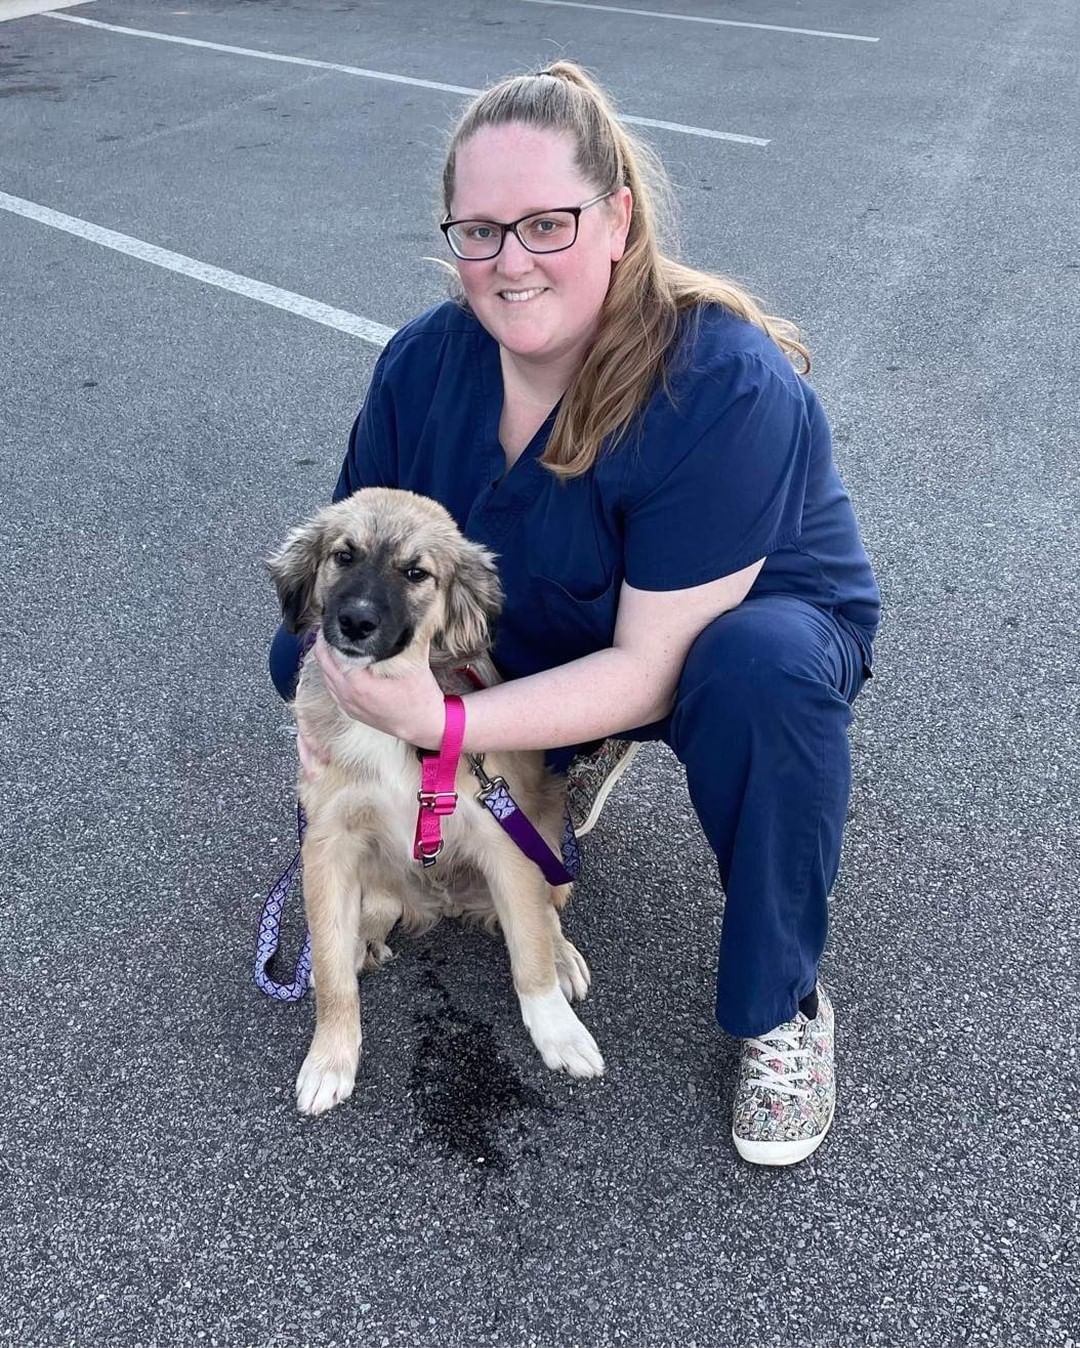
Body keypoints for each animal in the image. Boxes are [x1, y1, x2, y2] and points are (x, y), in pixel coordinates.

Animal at [265, 487, 601, 1116]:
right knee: (373, 913)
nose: (355, 621)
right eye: (343, 555)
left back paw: (562, 953)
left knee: (545, 910)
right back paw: (363, 941)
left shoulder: (501, 835)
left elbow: (530, 958)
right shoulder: (328, 840)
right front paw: (330, 1057)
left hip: (541, 832)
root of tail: (444, 902)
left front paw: (558, 1031)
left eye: (416, 573)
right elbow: (330, 972)